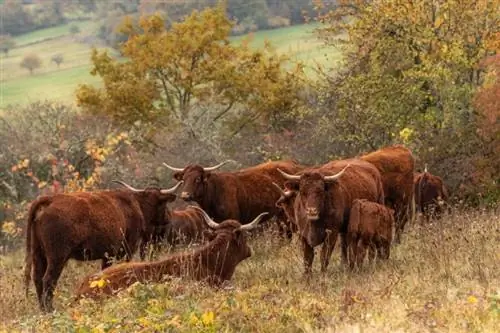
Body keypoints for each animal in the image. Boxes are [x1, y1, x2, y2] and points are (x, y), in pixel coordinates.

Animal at [23, 179, 182, 312]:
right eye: (163, 203)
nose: (168, 217)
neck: (136, 205)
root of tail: (50, 199)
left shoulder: (108, 255)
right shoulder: (126, 250)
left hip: (38, 254)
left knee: (37, 278)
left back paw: (43, 310)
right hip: (57, 257)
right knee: (48, 280)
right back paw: (50, 309)